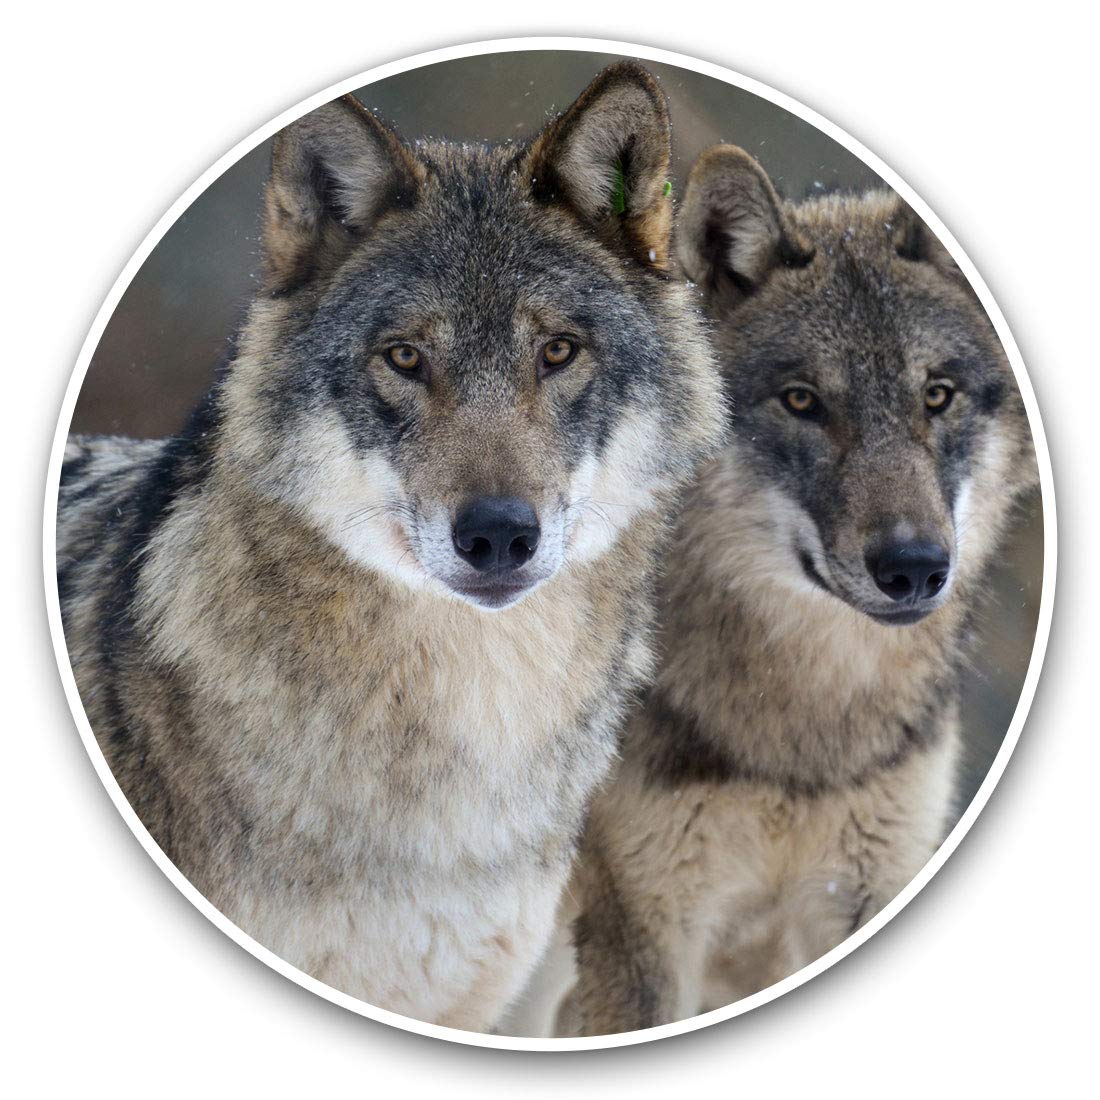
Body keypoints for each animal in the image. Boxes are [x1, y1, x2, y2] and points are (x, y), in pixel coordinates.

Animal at [551, 145, 1039, 1035]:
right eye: (803, 401)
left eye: (937, 396)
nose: (914, 565)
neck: (803, 742)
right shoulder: (642, 937)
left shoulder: (862, 898)